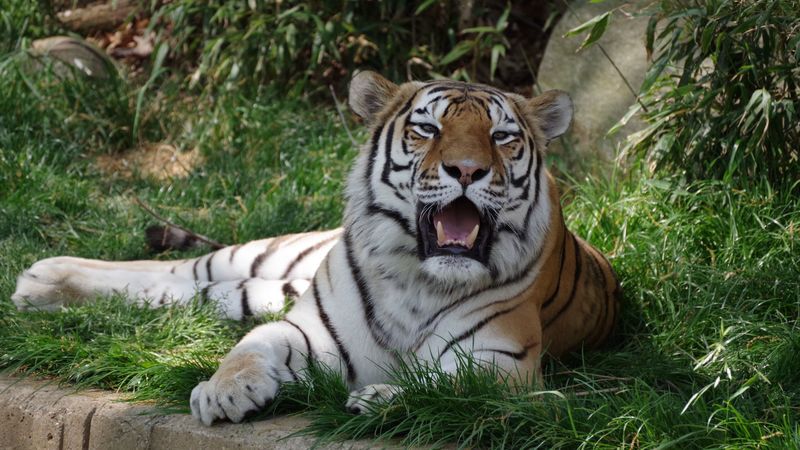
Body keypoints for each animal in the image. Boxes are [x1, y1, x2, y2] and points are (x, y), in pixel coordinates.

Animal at [12, 71, 621, 425]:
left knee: (190, 292)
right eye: (427, 129)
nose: (467, 170)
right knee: (177, 268)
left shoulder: (503, 364)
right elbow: (249, 348)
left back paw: (39, 286)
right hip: (266, 255)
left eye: (501, 137)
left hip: (255, 287)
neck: (421, 278)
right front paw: (222, 391)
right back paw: (43, 277)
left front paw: (382, 397)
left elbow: (448, 385)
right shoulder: (310, 330)